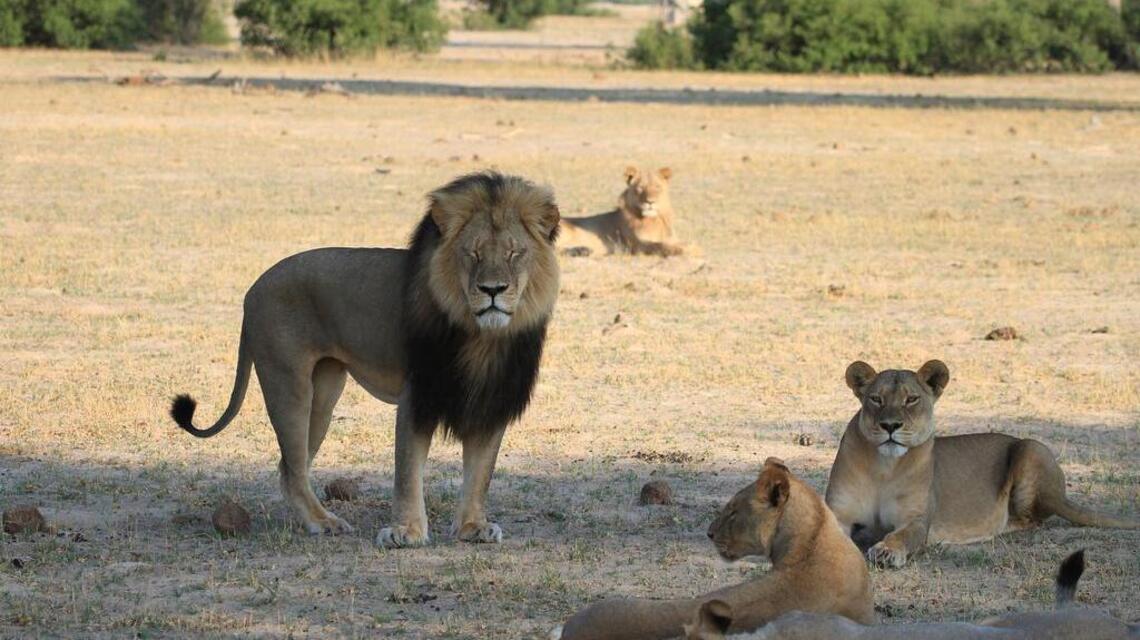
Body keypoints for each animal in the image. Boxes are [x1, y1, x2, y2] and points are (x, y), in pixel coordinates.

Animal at [169, 172, 560, 548]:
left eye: (514, 253)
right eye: (473, 253)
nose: (492, 290)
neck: (481, 335)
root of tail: (252, 290)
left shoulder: (492, 397)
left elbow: (480, 473)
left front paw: (472, 527)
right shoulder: (417, 395)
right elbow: (407, 471)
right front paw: (406, 533)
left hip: (324, 394)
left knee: (289, 466)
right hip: (288, 384)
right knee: (292, 469)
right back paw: (324, 522)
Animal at [825, 360, 1139, 569]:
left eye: (911, 399)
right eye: (876, 399)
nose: (890, 426)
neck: (884, 468)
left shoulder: (917, 520)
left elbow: (902, 536)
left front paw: (886, 551)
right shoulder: (840, 512)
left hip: (1030, 447)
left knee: (1031, 520)